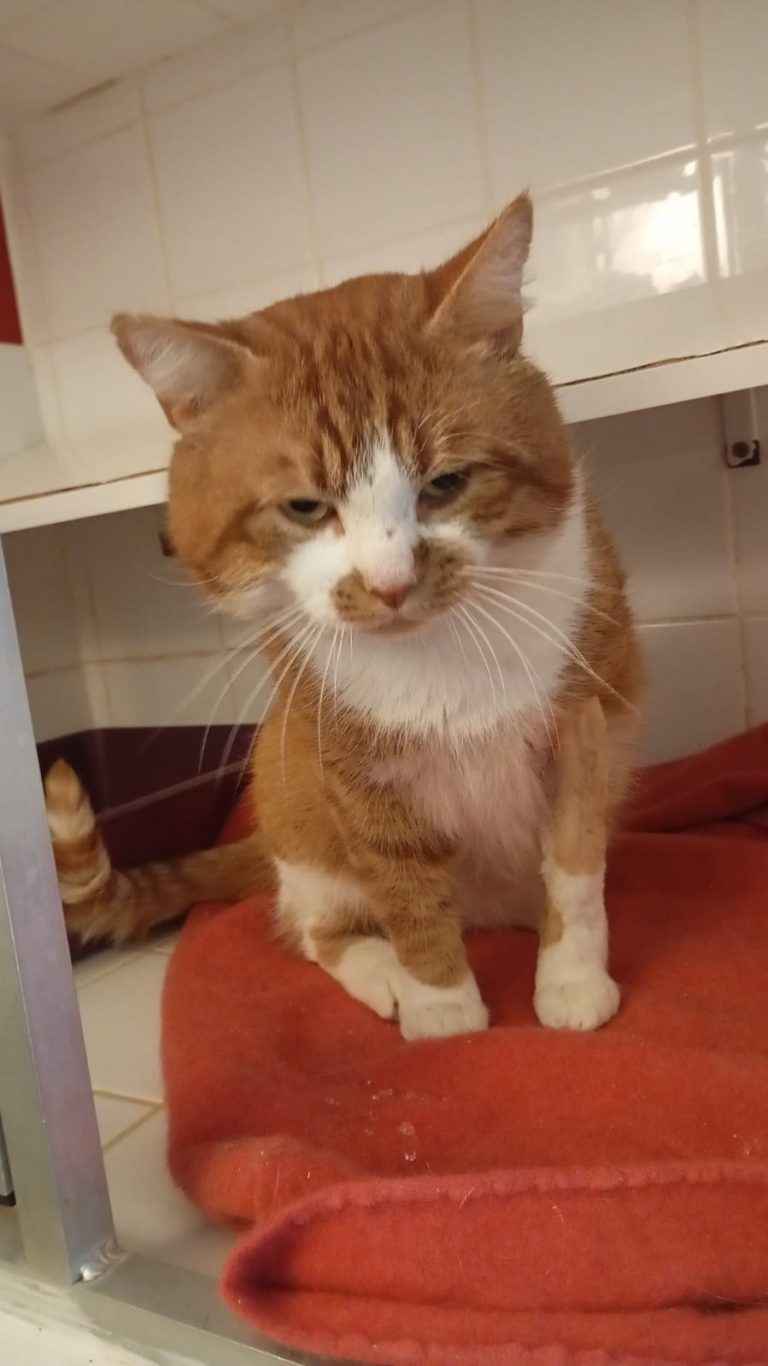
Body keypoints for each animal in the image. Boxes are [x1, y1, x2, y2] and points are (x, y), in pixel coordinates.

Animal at [45, 193, 643, 1041]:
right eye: (304, 507)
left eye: (447, 483)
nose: (391, 584)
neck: (437, 661)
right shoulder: (350, 767)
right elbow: (407, 898)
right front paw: (441, 1010)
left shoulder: (583, 724)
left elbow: (574, 867)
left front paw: (571, 980)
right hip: (294, 796)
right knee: (311, 927)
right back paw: (377, 970)